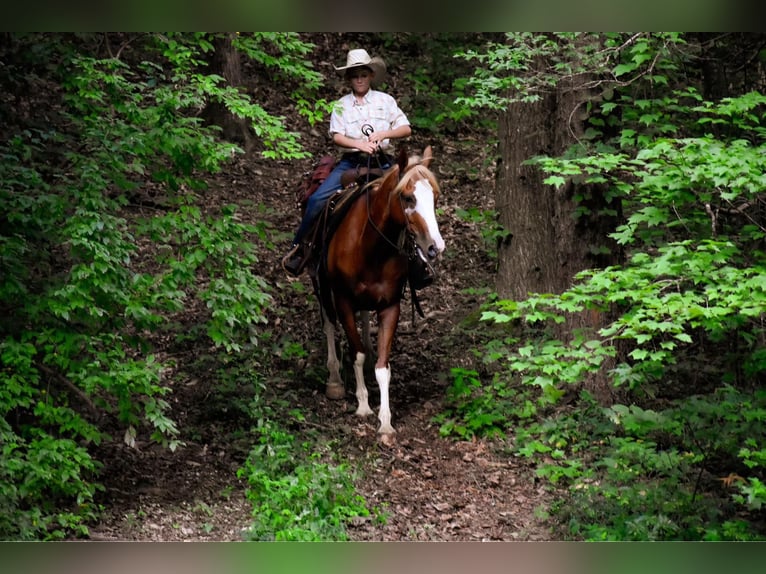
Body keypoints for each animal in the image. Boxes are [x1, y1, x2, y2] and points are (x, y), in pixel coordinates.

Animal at [316, 147, 448, 440]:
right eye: (408, 197)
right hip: (320, 283)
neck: (370, 247)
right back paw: (334, 379)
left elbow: (382, 367)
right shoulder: (343, 300)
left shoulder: (390, 305)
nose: (435, 247)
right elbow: (356, 353)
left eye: (434, 198)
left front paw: (385, 420)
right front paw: (363, 405)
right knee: (329, 324)